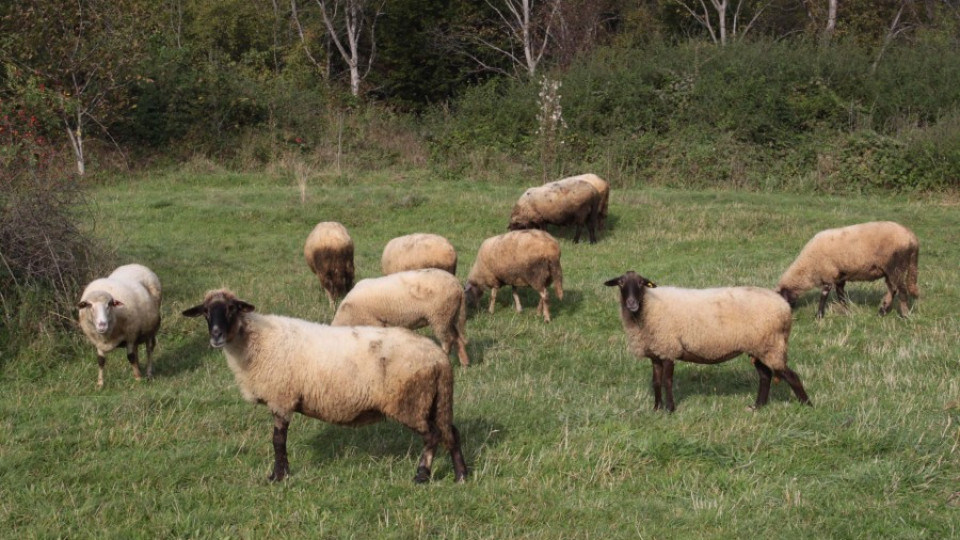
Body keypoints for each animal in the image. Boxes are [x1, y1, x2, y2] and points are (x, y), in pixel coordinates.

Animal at [183, 288, 468, 484]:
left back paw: (421, 475)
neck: (255, 342)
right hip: (434, 400)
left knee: (432, 435)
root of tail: (439, 358)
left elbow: (277, 441)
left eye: (232, 308)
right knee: (451, 432)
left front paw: (278, 477)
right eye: (206, 311)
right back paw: (461, 476)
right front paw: (281, 474)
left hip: (410, 401)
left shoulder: (281, 398)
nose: (216, 336)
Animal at [332, 268, 470, 368]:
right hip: (451, 315)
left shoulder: (373, 322)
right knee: (457, 338)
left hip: (440, 316)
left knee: (448, 340)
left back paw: (445, 358)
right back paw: (464, 363)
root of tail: (458, 286)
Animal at [608, 272, 808, 412]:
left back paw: (807, 405)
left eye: (641, 283)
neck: (647, 307)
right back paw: (757, 406)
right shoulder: (656, 352)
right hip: (759, 346)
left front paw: (670, 409)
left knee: (791, 376)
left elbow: (667, 381)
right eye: (621, 283)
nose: (631, 303)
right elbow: (656, 382)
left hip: (770, 345)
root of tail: (784, 306)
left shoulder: (669, 348)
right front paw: (656, 408)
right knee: (765, 376)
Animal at [776, 220, 920, 318]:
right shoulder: (839, 277)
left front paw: (819, 315)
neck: (808, 267)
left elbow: (824, 296)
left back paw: (905, 315)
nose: (787, 314)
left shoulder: (828, 274)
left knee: (901, 289)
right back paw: (882, 311)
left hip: (896, 266)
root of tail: (912, 238)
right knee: (893, 289)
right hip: (889, 270)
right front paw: (847, 312)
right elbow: (841, 296)